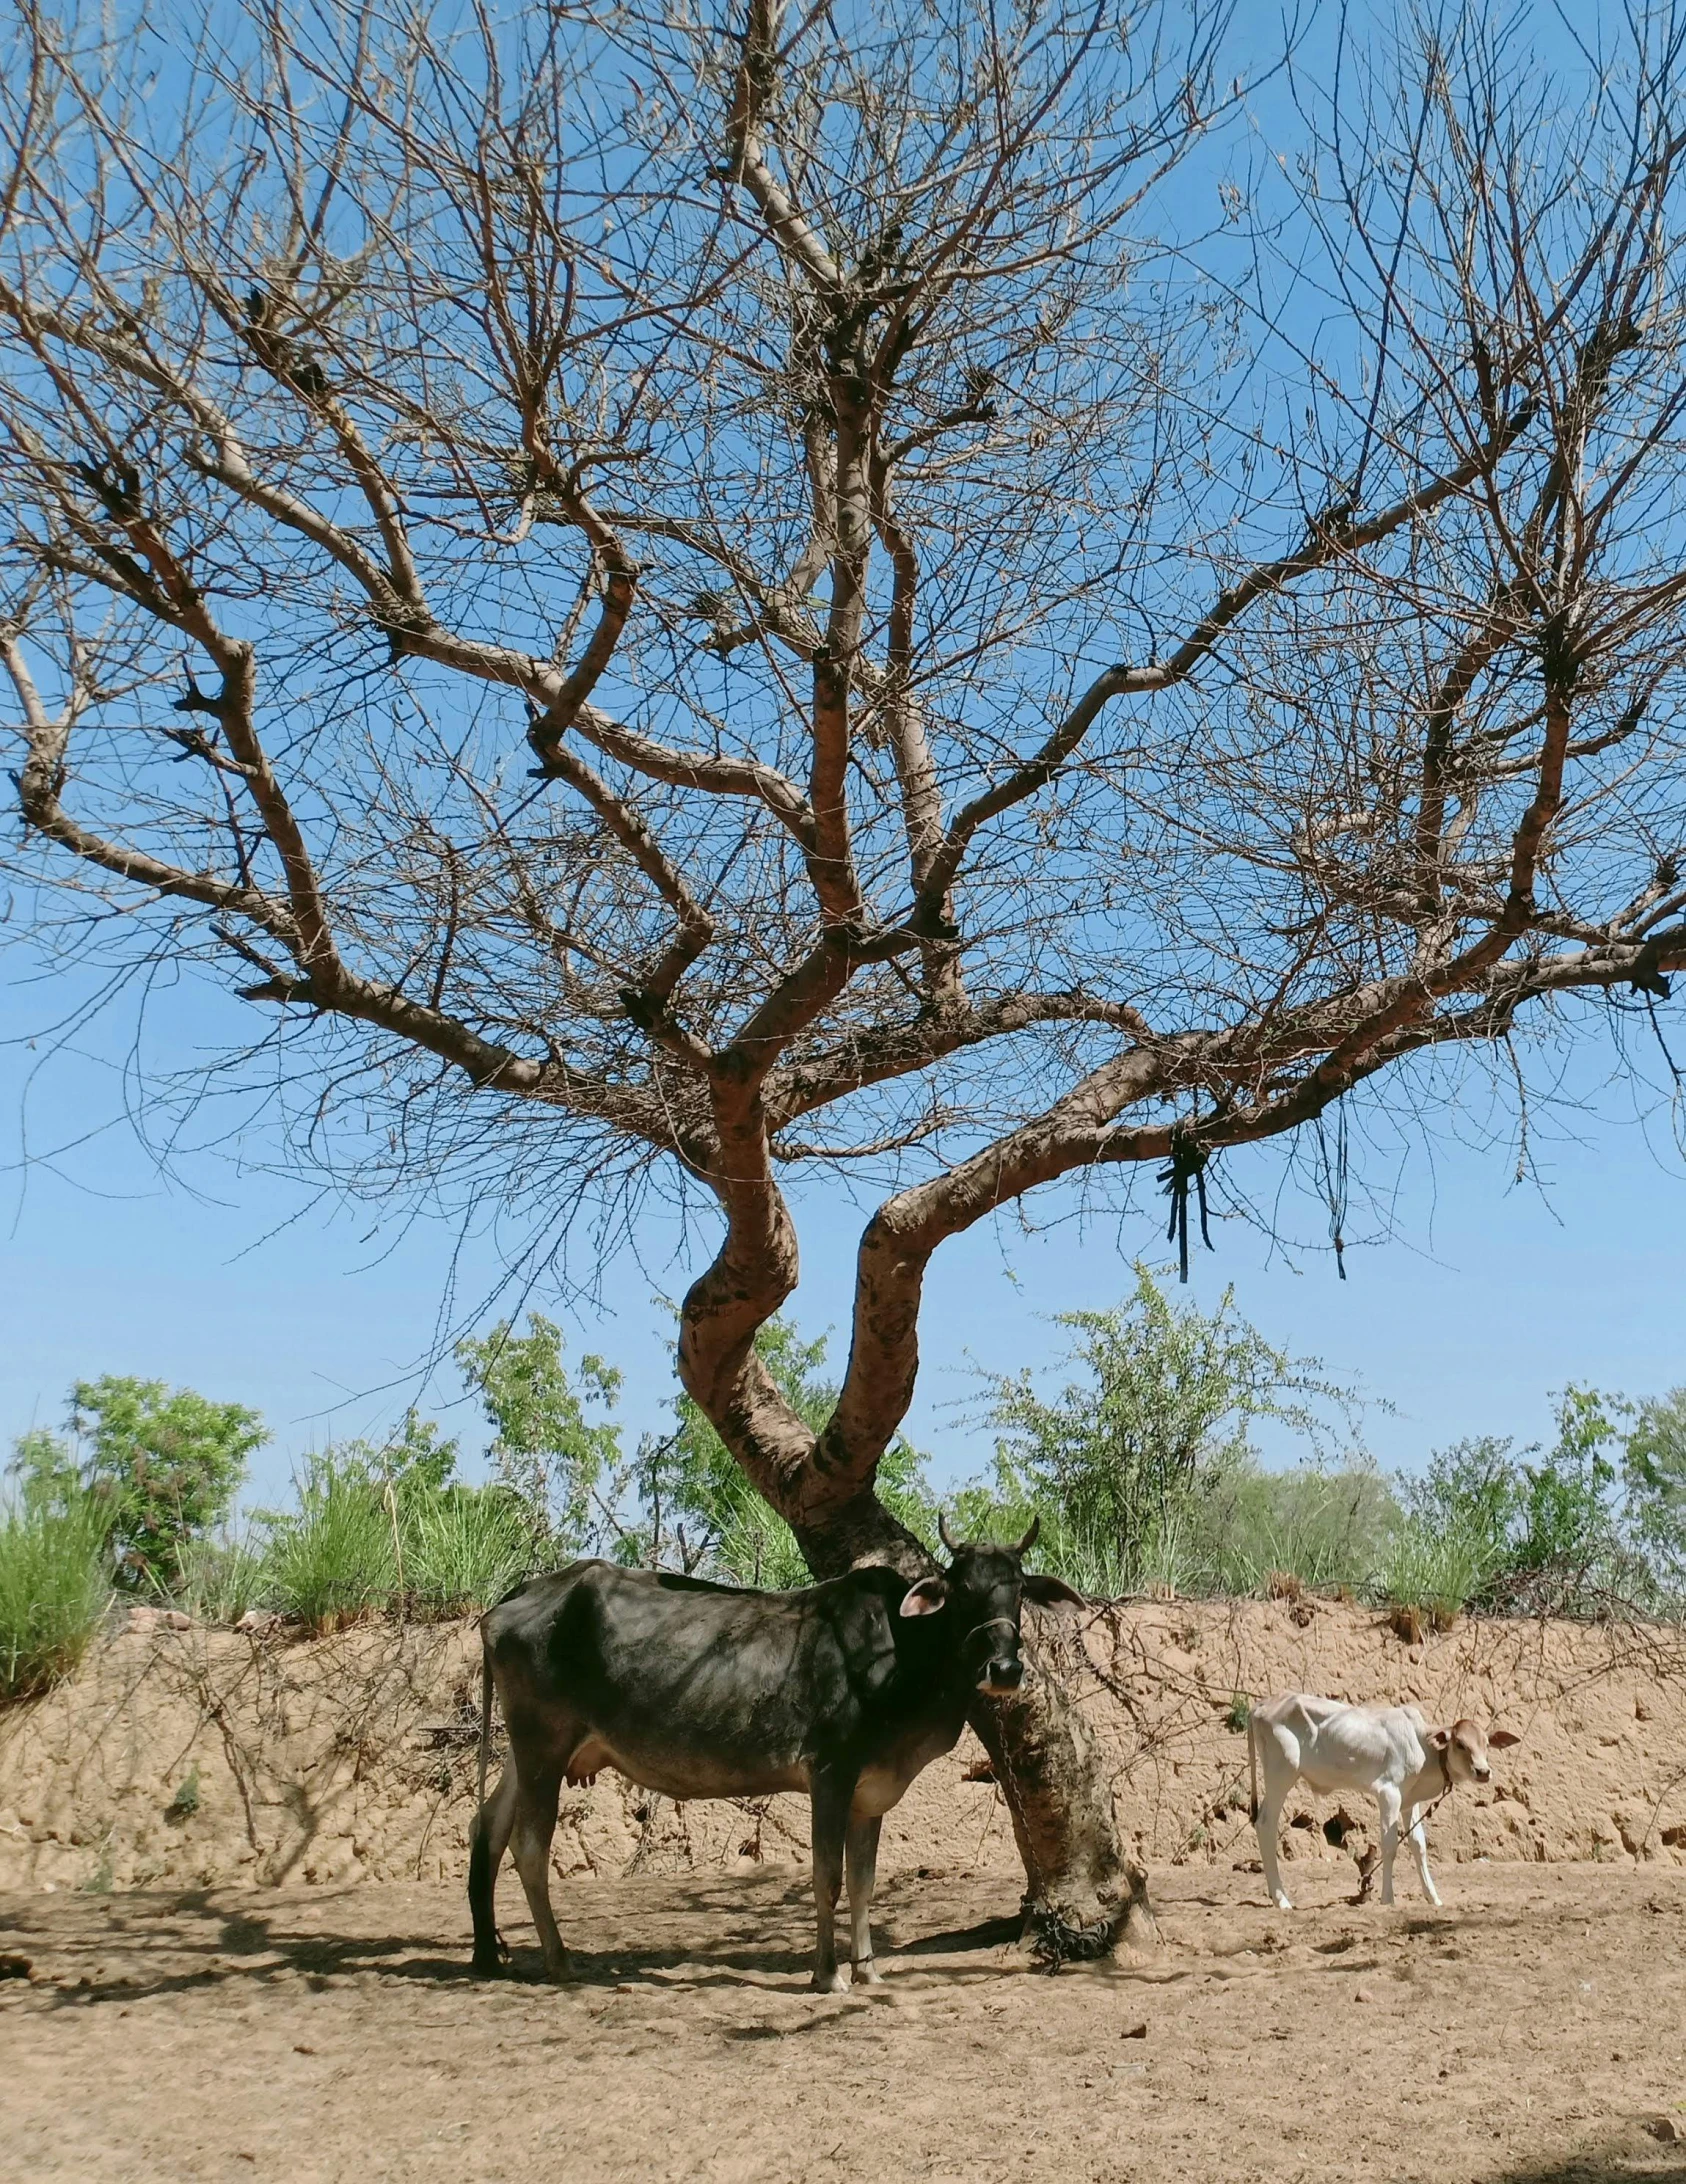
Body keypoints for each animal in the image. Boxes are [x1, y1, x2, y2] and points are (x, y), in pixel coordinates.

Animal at [467, 1520, 1087, 2000]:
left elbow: (864, 1882)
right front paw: (829, 1975)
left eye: (1019, 1591)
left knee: (487, 1827)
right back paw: (559, 1960)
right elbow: (828, 1877)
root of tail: (520, 1594)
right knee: (528, 1846)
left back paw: (487, 1955)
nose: (1005, 1670)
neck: (902, 1652)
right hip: (543, 1745)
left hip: (526, 1754)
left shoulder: (871, 1794)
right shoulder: (831, 1775)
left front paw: (869, 1970)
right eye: (961, 1591)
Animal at [1249, 1686, 1511, 1913]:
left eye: (1486, 1743)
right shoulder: (1388, 1793)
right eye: (1460, 1744)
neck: (1423, 1745)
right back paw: (1281, 1900)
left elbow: (1418, 1845)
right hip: (1281, 1773)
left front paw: (1433, 1898)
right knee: (1266, 1825)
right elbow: (1390, 1846)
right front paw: (1388, 1898)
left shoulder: (1409, 1802)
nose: (1483, 1771)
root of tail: (1263, 1705)